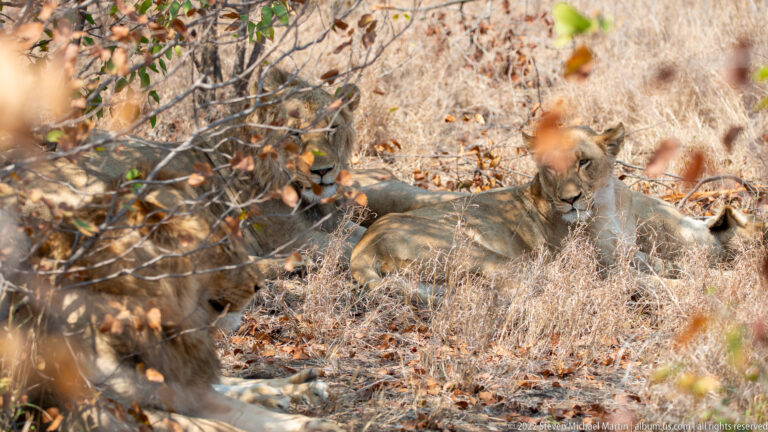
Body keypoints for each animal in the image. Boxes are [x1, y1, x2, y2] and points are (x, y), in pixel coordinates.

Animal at [350, 123, 763, 300]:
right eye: (550, 167)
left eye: (583, 162)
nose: (570, 200)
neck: (608, 204)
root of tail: (363, 246)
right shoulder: (608, 268)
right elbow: (659, 280)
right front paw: (713, 284)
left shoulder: (627, 253)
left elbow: (666, 265)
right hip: (488, 257)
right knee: (522, 288)